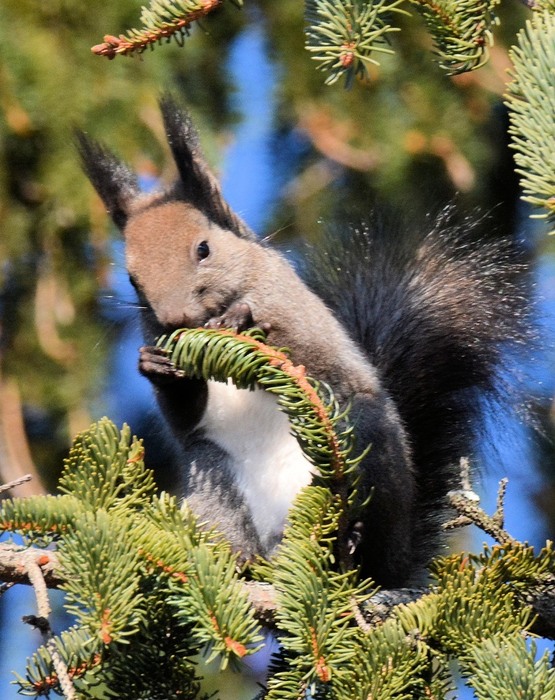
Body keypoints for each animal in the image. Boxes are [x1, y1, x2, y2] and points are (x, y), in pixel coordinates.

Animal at [77, 95, 528, 588]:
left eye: (203, 249)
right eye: (132, 279)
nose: (176, 319)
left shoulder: (299, 310)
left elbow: (313, 356)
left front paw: (243, 319)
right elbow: (184, 419)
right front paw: (158, 368)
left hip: (366, 447)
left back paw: (352, 547)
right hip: (212, 476)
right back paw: (237, 565)